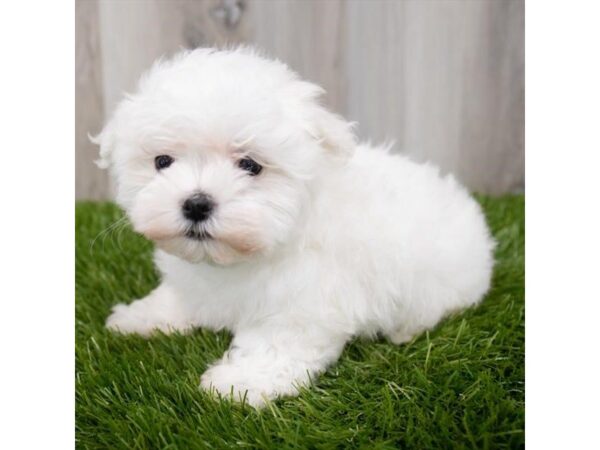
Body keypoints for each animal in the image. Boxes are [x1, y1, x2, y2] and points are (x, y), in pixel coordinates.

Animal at [95, 47, 496, 406]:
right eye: (162, 161)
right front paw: (140, 316)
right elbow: (179, 297)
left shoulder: (306, 304)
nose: (196, 203)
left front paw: (240, 384)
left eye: (250, 165)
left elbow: (275, 345)